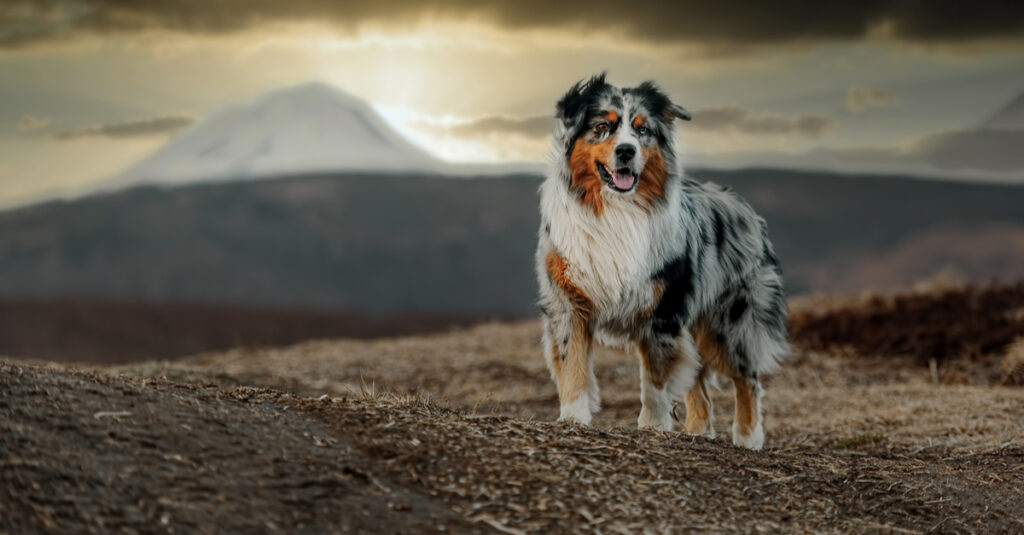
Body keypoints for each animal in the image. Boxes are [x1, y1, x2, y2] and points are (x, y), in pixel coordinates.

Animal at [540, 72, 786, 446]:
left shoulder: (661, 311)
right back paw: (698, 433)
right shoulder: (569, 301)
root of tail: (746, 208)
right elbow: (573, 365)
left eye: (643, 130)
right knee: (700, 390)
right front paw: (573, 417)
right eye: (602, 126)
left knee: (747, 378)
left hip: (727, 323)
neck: (616, 209)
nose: (626, 151)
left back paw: (747, 438)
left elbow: (655, 379)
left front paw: (653, 425)